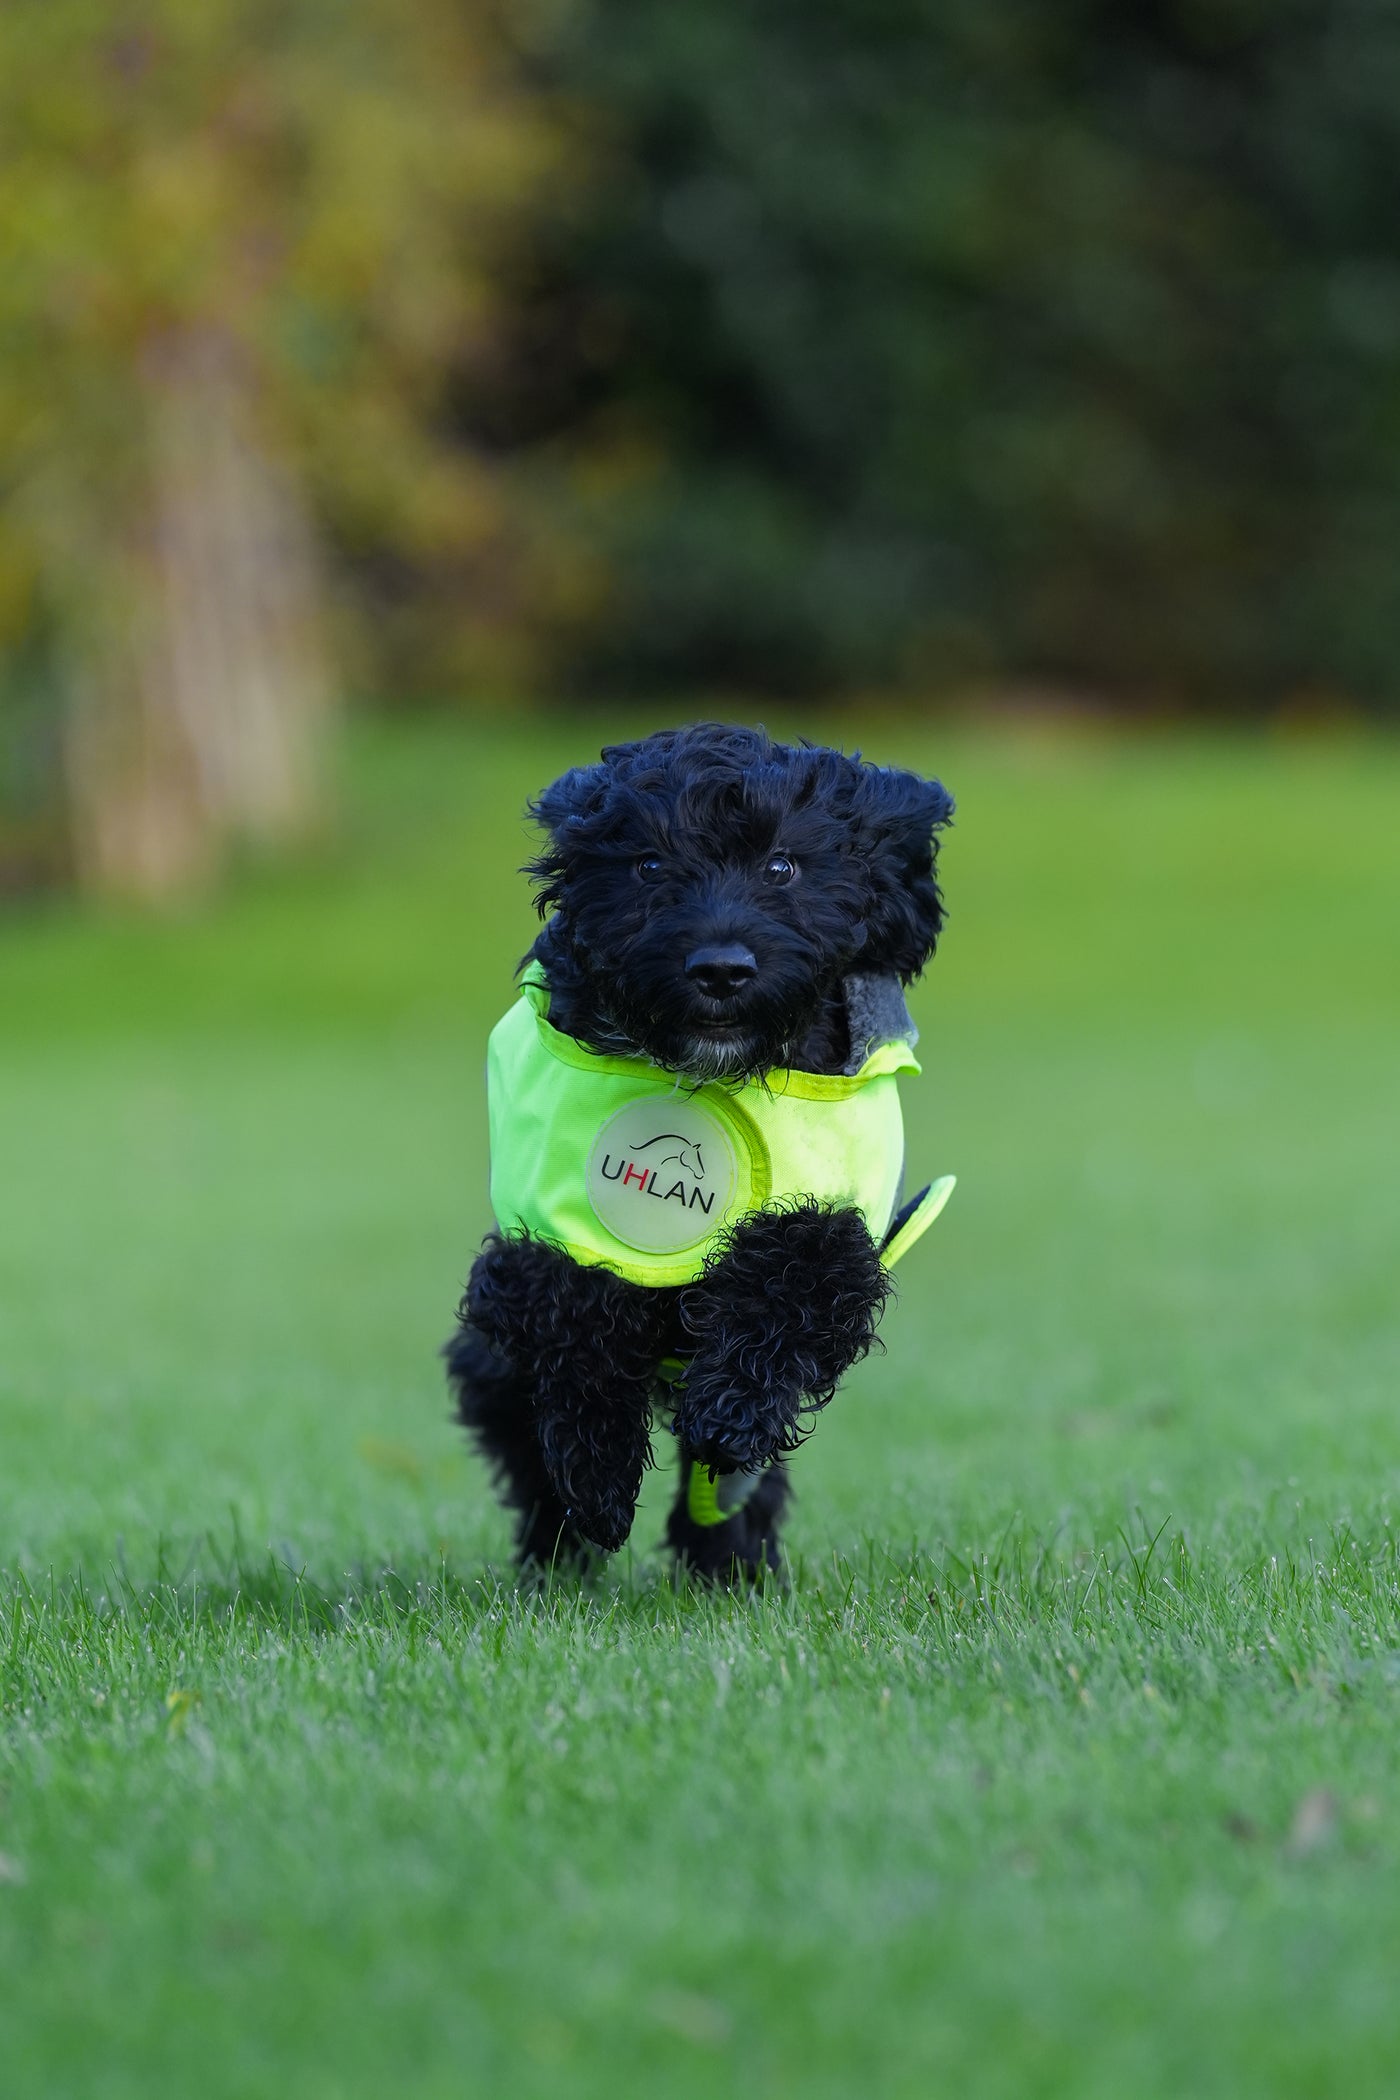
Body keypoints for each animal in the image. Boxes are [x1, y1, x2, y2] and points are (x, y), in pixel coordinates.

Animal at [447, 722, 952, 1579]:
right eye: (649, 865)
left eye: (782, 865)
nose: (721, 968)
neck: (716, 1074)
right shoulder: (541, 1235)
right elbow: (572, 1307)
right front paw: (600, 1467)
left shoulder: (847, 1211)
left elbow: (803, 1263)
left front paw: (735, 1409)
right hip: (490, 1371)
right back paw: (560, 1558)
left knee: (730, 1489)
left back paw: (730, 1563)